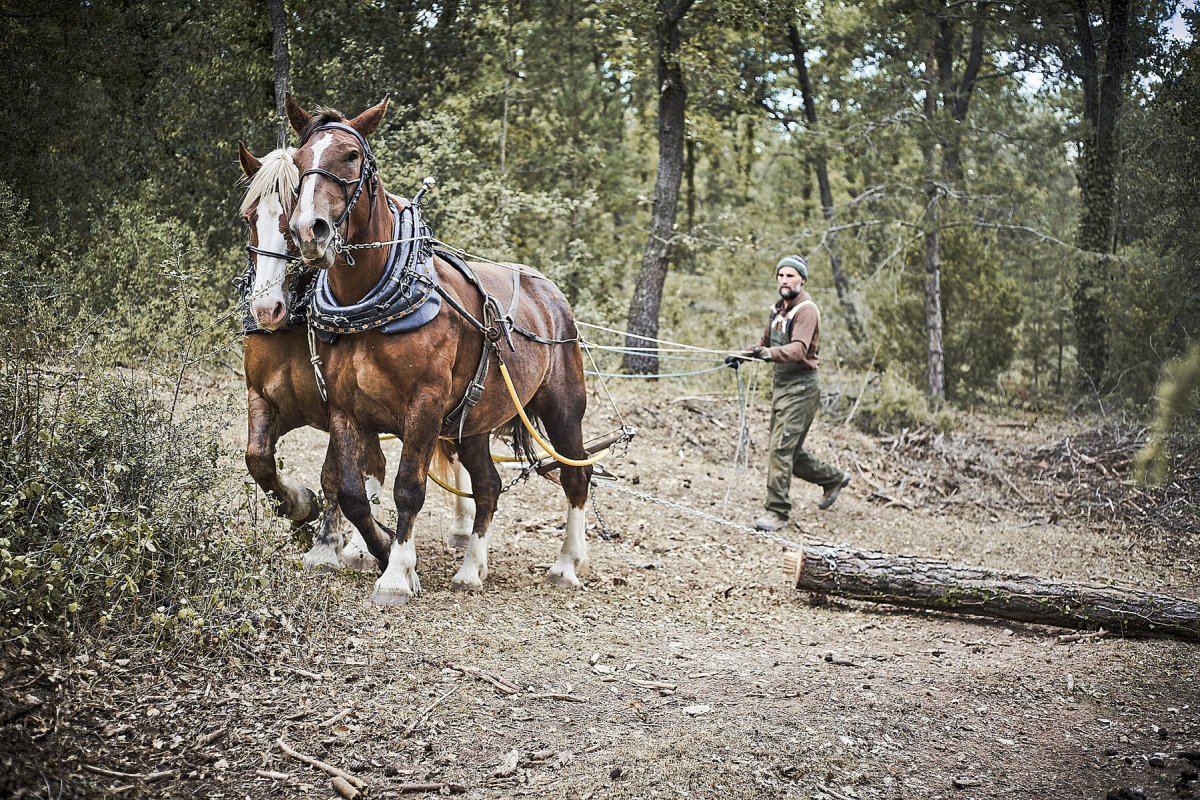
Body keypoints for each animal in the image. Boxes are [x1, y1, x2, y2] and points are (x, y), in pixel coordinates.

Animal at [286, 94, 595, 604]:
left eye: (351, 156)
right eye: (298, 160)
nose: (310, 230)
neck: (373, 303)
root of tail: (551, 295)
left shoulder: (425, 406)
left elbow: (408, 488)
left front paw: (396, 574)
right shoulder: (346, 409)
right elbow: (351, 489)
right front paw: (379, 551)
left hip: (563, 408)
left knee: (576, 475)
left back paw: (567, 564)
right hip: (472, 421)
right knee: (488, 486)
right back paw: (471, 568)